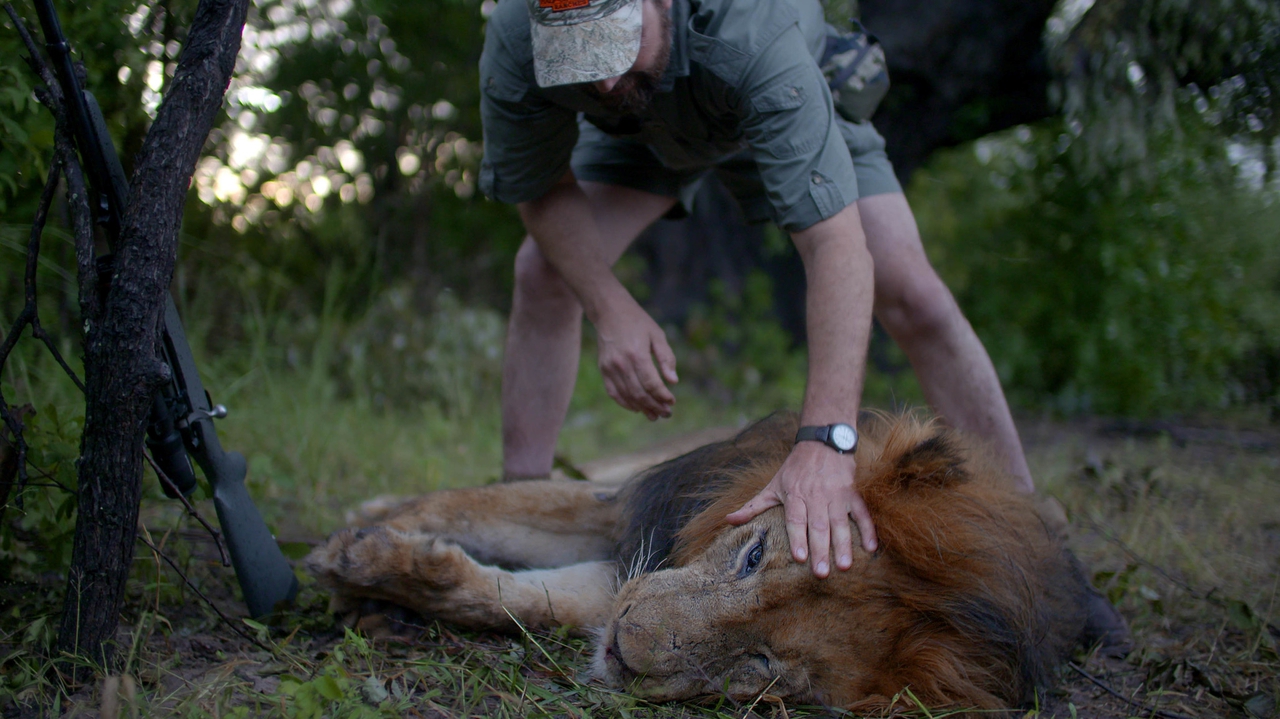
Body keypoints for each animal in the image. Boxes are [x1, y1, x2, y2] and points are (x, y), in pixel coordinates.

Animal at [309, 411, 1100, 706]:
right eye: (753, 555)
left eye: (760, 664)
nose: (627, 650)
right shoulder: (635, 509)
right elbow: (480, 502)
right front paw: (359, 539)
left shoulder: (620, 580)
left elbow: (515, 596)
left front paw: (378, 567)